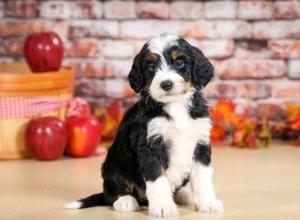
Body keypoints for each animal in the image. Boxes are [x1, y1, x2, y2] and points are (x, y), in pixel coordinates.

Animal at [65, 33, 223, 217]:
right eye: (151, 66)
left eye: (179, 62)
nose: (166, 84)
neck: (175, 105)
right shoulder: (151, 145)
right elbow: (157, 178)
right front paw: (163, 206)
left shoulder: (200, 141)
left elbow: (202, 177)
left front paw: (208, 203)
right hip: (114, 165)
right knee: (111, 193)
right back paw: (125, 201)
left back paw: (185, 195)